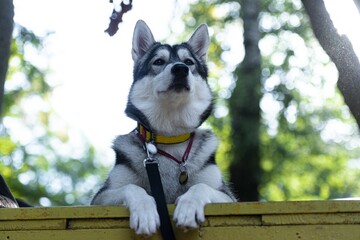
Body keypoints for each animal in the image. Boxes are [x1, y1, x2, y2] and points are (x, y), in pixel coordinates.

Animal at [90, 19, 236, 235]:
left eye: (189, 62)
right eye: (158, 62)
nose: (180, 69)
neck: (170, 136)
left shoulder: (227, 197)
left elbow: (200, 187)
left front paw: (188, 208)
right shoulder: (101, 198)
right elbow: (132, 188)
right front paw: (145, 212)